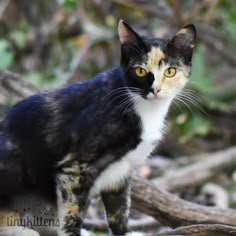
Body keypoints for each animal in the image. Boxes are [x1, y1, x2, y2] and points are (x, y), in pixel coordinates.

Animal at [0, 20, 195, 236]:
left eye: (170, 71)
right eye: (140, 71)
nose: (156, 90)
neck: (144, 109)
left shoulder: (121, 172)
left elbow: (119, 211)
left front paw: (124, 232)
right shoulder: (75, 167)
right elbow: (71, 213)